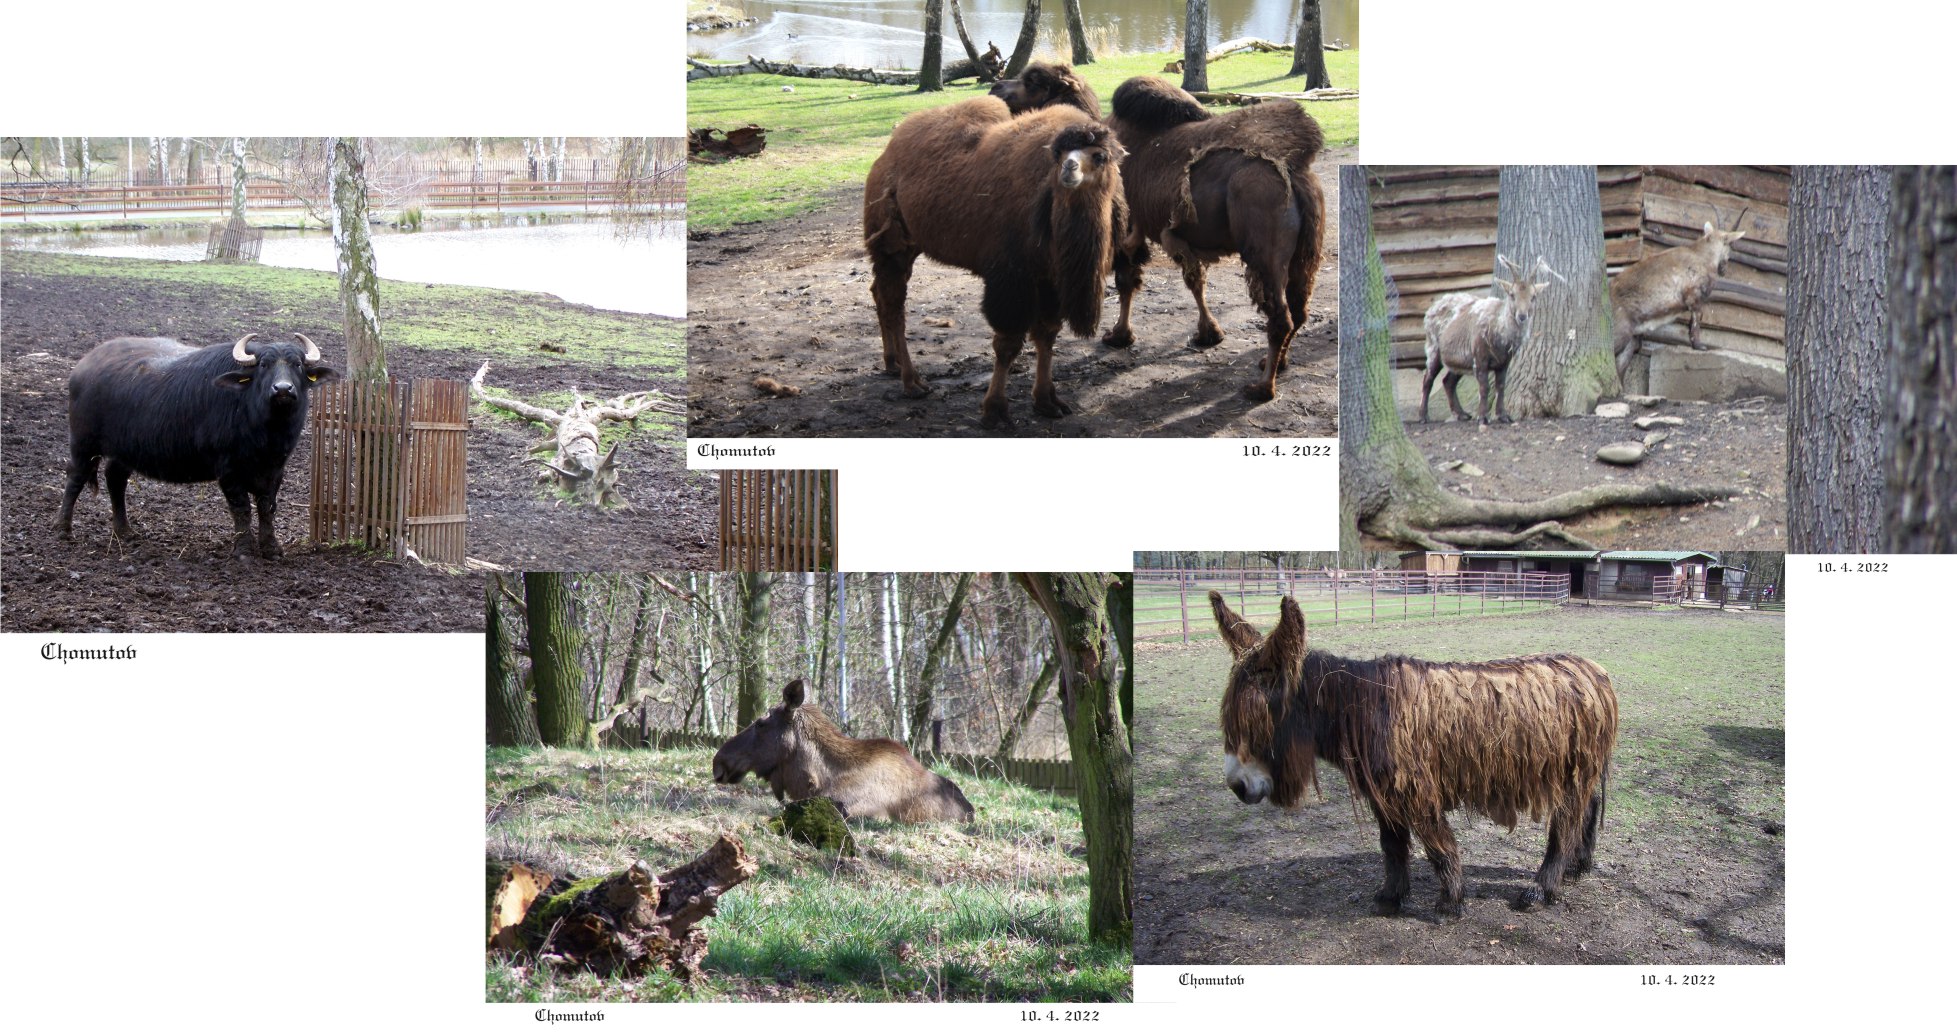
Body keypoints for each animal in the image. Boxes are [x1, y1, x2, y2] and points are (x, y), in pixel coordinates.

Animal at [56, 332, 340, 556]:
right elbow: (242, 510)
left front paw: (271, 549)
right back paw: (63, 530)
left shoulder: (275, 470)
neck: (266, 431)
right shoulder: (228, 471)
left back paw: (124, 531)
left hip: (124, 450)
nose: (282, 389)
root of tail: (83, 366)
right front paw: (243, 551)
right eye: (263, 365)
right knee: (75, 477)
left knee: (115, 479)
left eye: (298, 364)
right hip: (83, 443)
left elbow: (266, 508)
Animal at [1424, 256, 1557, 424]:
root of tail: (1432, 308)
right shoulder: (1480, 356)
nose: (1522, 316)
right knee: (1428, 379)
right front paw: (1482, 417)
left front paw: (1503, 415)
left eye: (1533, 297)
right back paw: (1423, 416)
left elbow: (1501, 385)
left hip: (1460, 359)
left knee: (1448, 381)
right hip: (1433, 347)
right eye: (1512, 294)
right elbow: (1484, 387)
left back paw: (1462, 414)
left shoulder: (1504, 361)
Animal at [1604, 220, 1745, 374]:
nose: (1724, 269)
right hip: (1620, 330)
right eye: (1729, 246)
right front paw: (1699, 346)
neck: (1703, 257)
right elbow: (1696, 320)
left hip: (1631, 340)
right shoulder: (1693, 294)